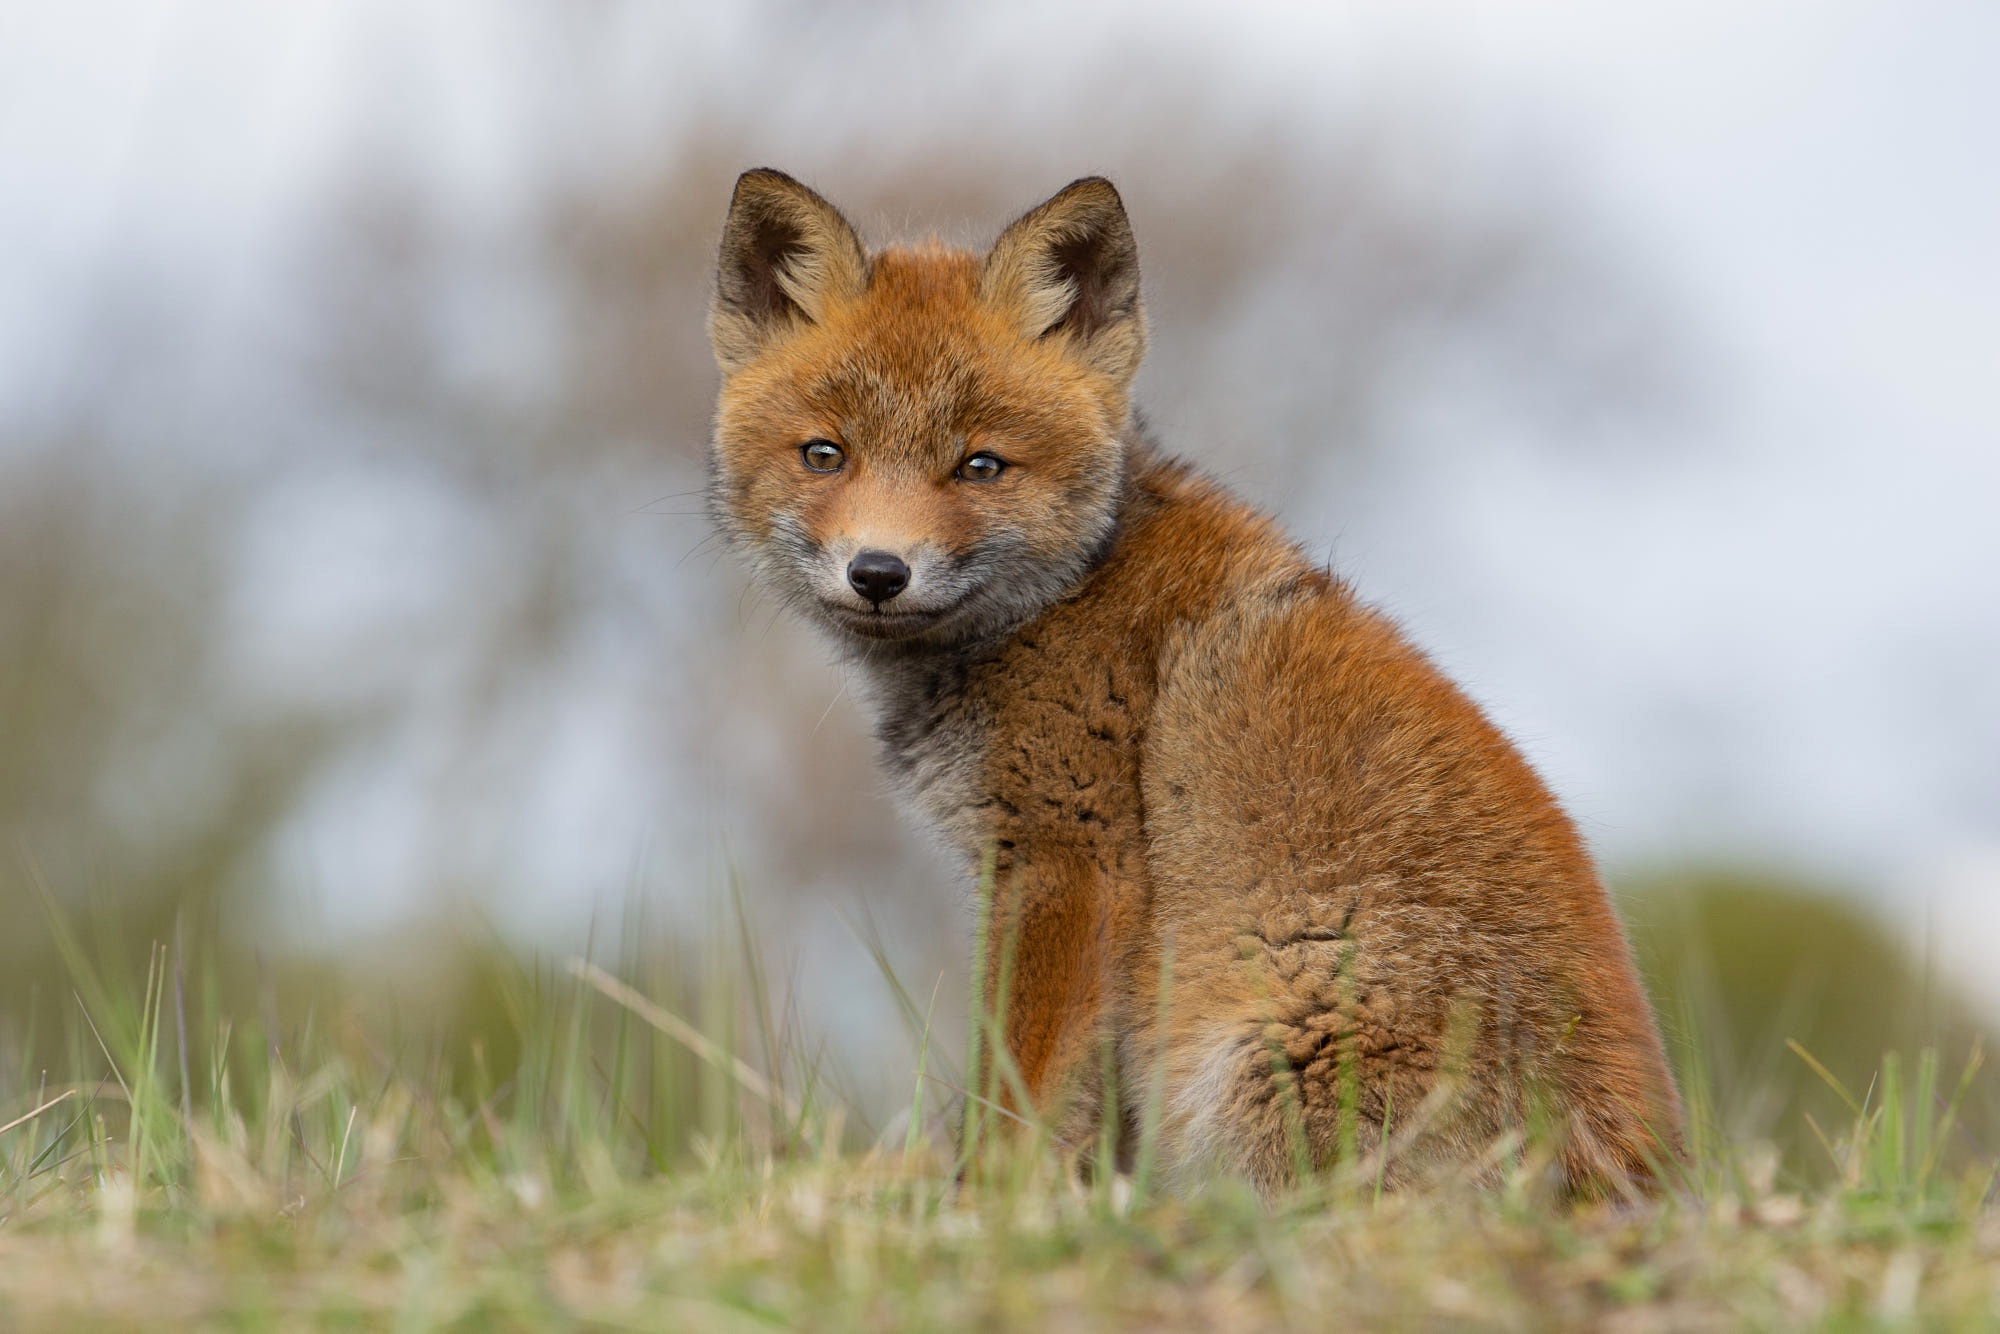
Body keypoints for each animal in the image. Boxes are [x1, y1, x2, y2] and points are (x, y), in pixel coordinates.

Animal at [705, 168, 1683, 1198]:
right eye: (826, 454)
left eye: (979, 465)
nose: (879, 573)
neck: (1067, 592)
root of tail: (1643, 1178)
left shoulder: (1069, 860)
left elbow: (1014, 1100)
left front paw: (986, 1209)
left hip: (1255, 1050)